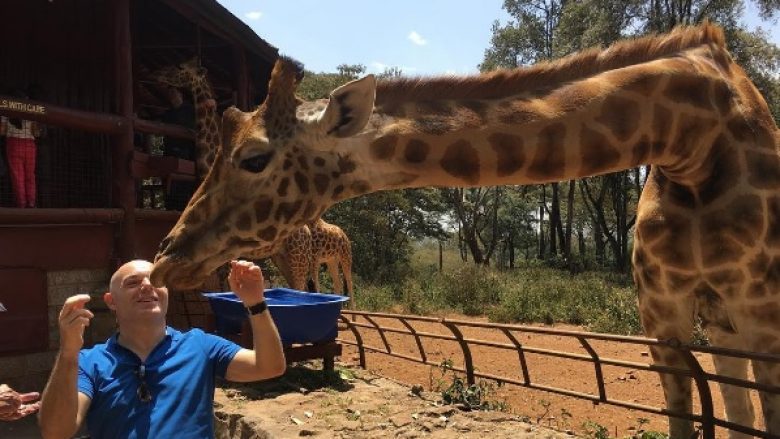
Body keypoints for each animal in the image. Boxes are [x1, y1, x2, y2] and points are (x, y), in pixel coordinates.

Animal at [152, 24, 780, 439]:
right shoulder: (661, 315)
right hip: (719, 320)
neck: (690, 142)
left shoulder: (763, 313)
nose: (165, 256)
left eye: (254, 159)